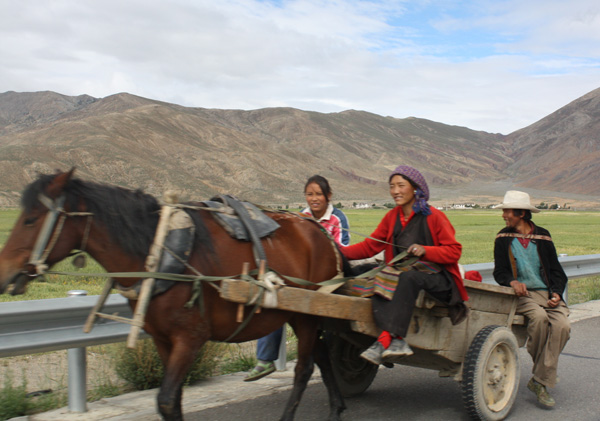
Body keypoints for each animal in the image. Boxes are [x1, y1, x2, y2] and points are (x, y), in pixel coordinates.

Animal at [0, 169, 347, 421]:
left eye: (30, 219)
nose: (5, 275)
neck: (157, 254)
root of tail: (319, 231)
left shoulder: (190, 338)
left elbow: (166, 400)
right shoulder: (162, 339)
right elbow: (173, 399)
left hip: (308, 313)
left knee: (304, 369)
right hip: (301, 313)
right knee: (321, 356)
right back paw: (336, 407)